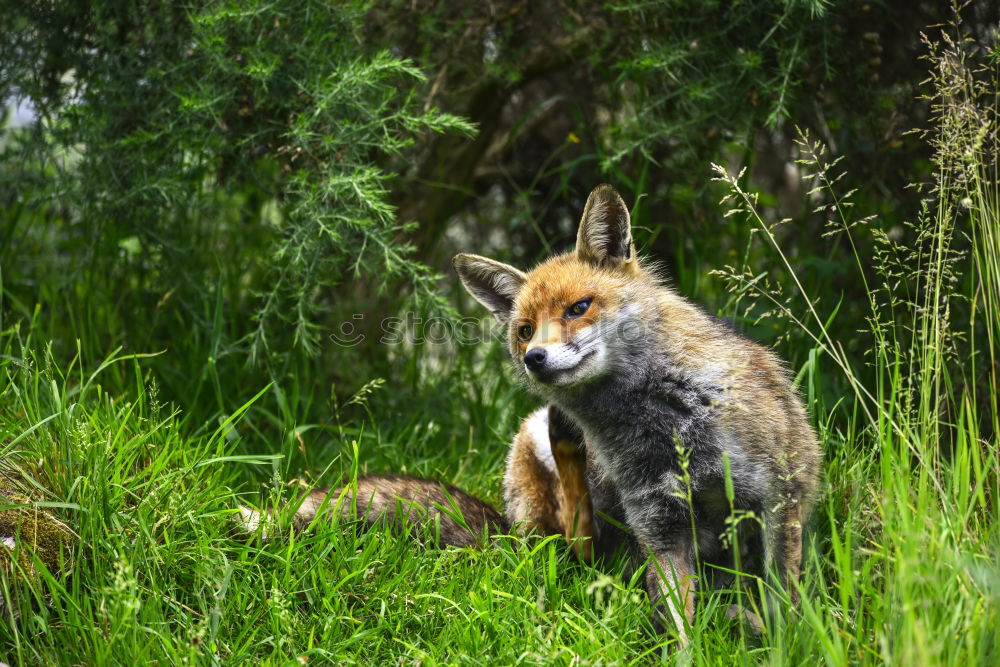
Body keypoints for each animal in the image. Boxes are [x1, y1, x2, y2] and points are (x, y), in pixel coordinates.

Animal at [454, 185, 820, 644]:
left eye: (578, 308)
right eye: (524, 331)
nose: (534, 358)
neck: (667, 426)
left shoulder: (780, 497)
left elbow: (783, 599)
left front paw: (788, 646)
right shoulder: (659, 523)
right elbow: (677, 624)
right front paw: (684, 651)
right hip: (537, 477)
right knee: (578, 543)